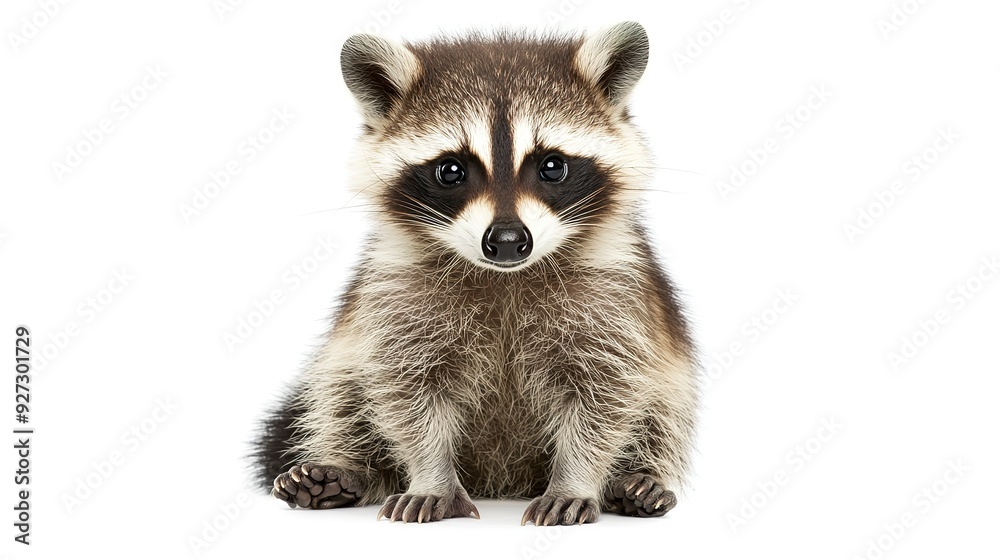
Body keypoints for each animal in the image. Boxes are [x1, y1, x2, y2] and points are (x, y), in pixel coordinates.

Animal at [251, 21, 699, 526]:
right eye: (451, 170)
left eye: (552, 166)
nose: (506, 240)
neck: (506, 275)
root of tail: (502, 482)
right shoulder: (396, 298)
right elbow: (406, 391)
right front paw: (431, 477)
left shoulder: (614, 298)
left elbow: (606, 395)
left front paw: (576, 479)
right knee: (341, 395)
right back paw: (352, 470)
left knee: (665, 413)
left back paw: (637, 477)